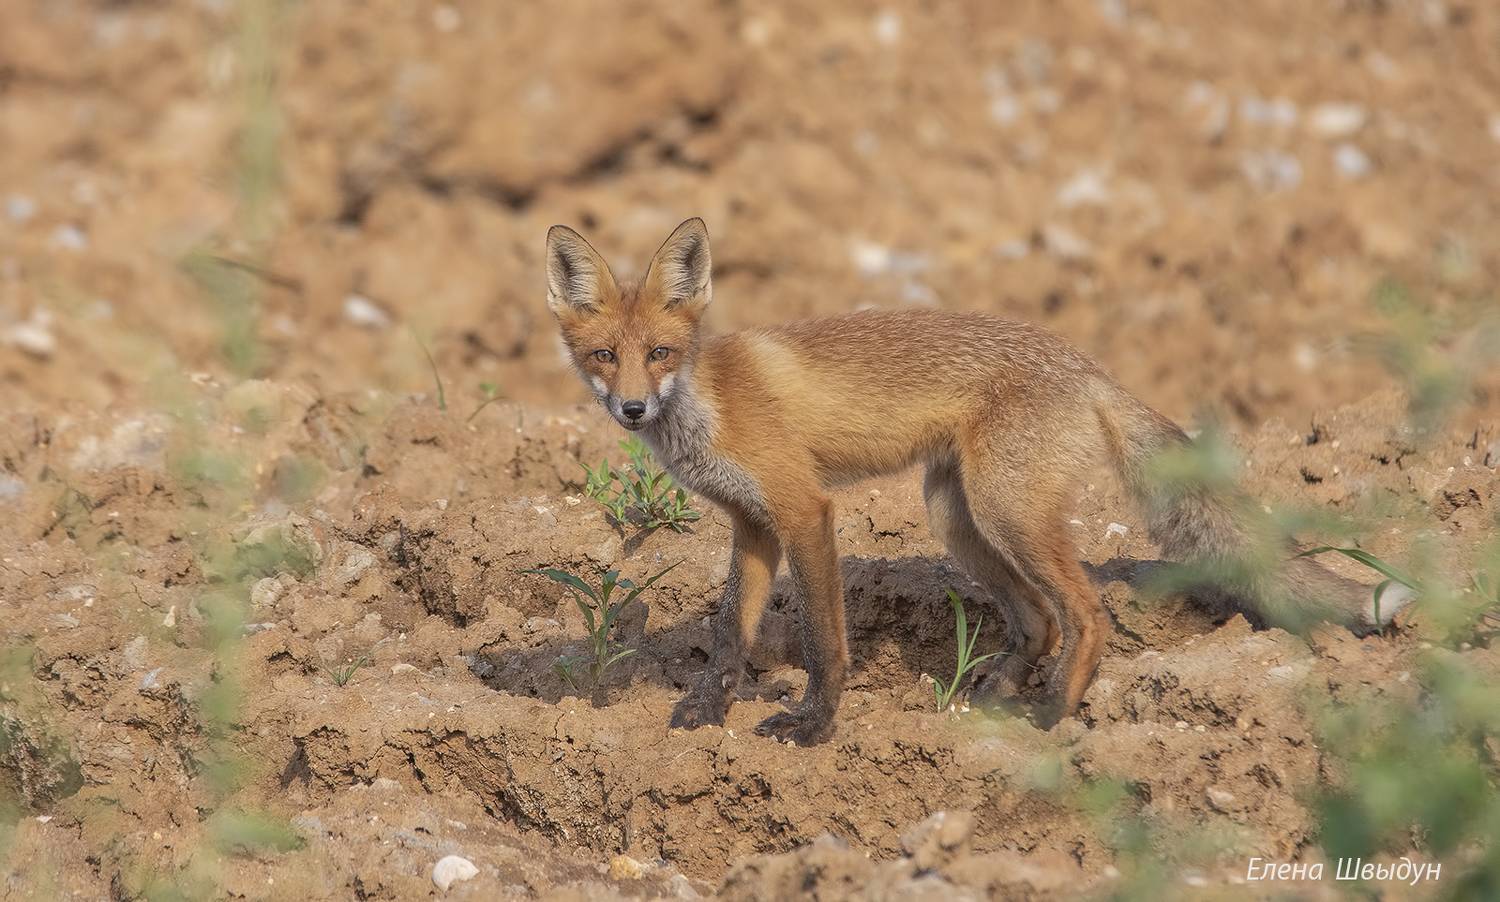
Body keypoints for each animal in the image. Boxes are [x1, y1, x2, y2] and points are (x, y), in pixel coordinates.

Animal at [543, 217, 1409, 746]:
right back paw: (996, 694)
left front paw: (815, 725)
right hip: (957, 518)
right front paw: (701, 708)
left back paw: (1053, 714)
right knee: (1040, 621)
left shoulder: (803, 508)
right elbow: (729, 632)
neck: (710, 405)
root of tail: (1087, 365)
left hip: (1005, 510)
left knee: (1086, 613)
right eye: (603, 356)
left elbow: (824, 640)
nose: (631, 408)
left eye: (659, 353)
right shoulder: (753, 524)